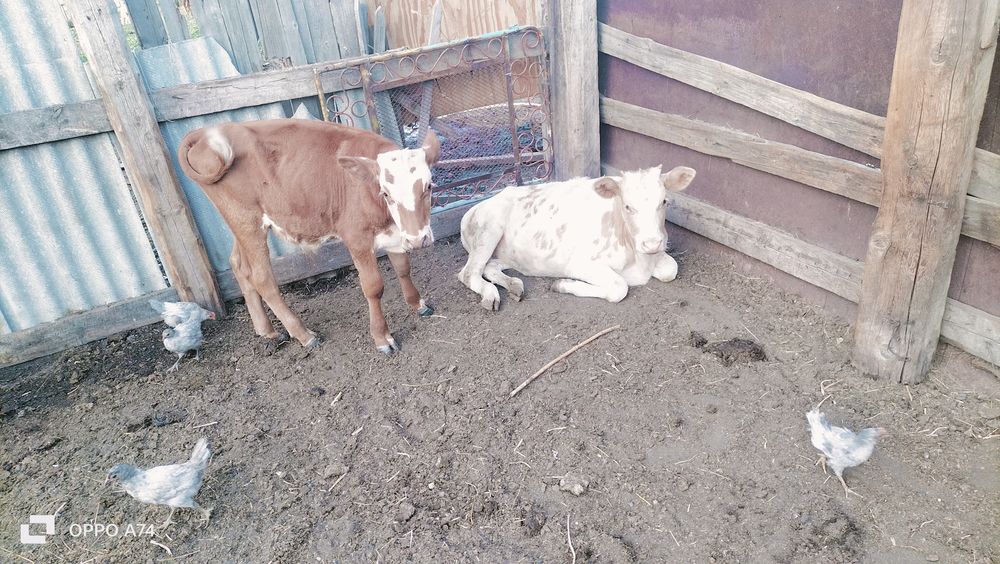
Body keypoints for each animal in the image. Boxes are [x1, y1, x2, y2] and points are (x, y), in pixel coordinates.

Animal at [177, 119, 441, 354]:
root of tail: (205, 132)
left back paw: (267, 330)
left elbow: (403, 268)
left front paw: (417, 304)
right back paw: (303, 334)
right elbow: (374, 287)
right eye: (386, 193)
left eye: (428, 186)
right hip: (246, 220)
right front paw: (382, 337)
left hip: (239, 222)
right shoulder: (356, 236)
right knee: (261, 277)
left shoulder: (395, 233)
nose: (418, 239)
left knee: (239, 265)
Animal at [458, 165, 695, 309]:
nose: (652, 242)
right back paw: (491, 295)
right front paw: (563, 285)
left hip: (509, 254)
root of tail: (478, 206)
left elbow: (670, 269)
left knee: (490, 266)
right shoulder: (578, 263)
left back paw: (514, 285)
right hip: (489, 230)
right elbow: (619, 287)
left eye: (663, 201)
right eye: (628, 206)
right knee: (468, 273)